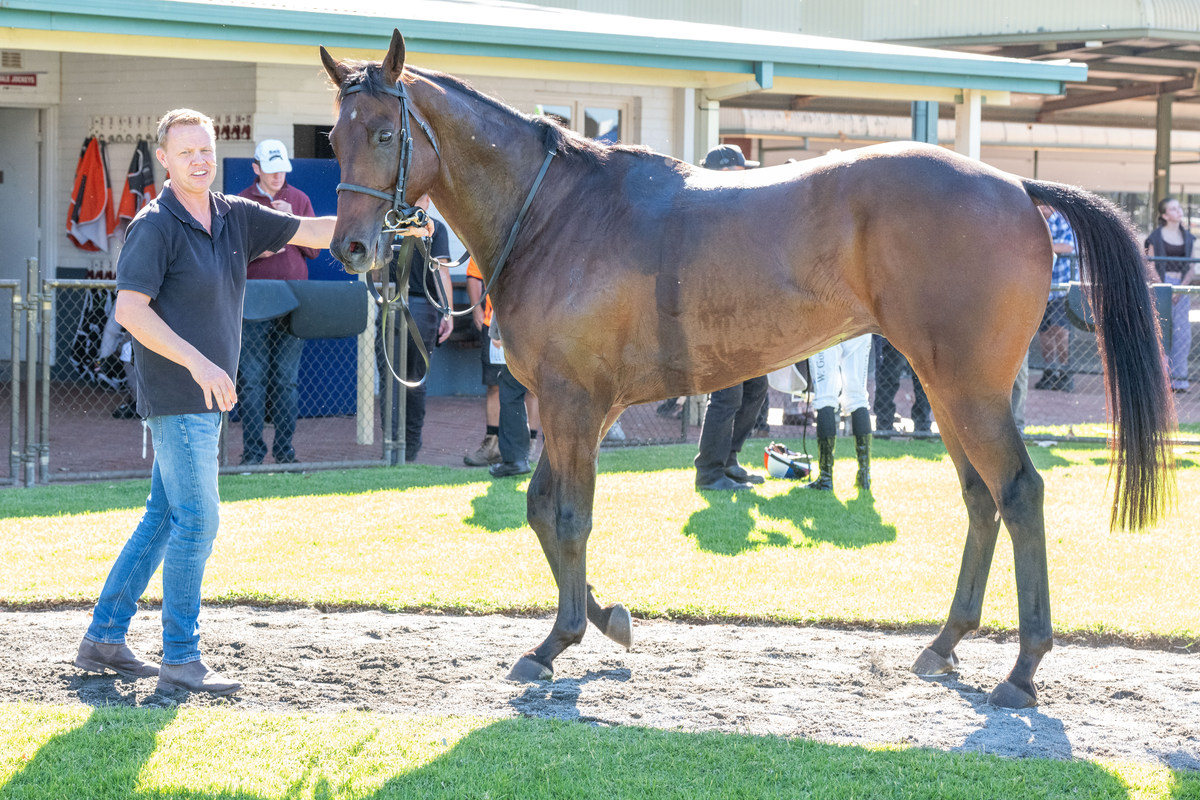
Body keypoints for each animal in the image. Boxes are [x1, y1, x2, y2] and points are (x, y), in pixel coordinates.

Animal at [319, 30, 1176, 709]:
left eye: (386, 134)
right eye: (334, 134)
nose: (350, 248)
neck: (558, 210)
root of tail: (1016, 185)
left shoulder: (573, 404)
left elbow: (567, 518)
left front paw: (556, 642)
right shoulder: (566, 407)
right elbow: (538, 510)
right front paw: (607, 619)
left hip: (971, 388)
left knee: (1020, 493)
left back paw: (1023, 669)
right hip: (946, 387)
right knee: (980, 499)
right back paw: (947, 642)